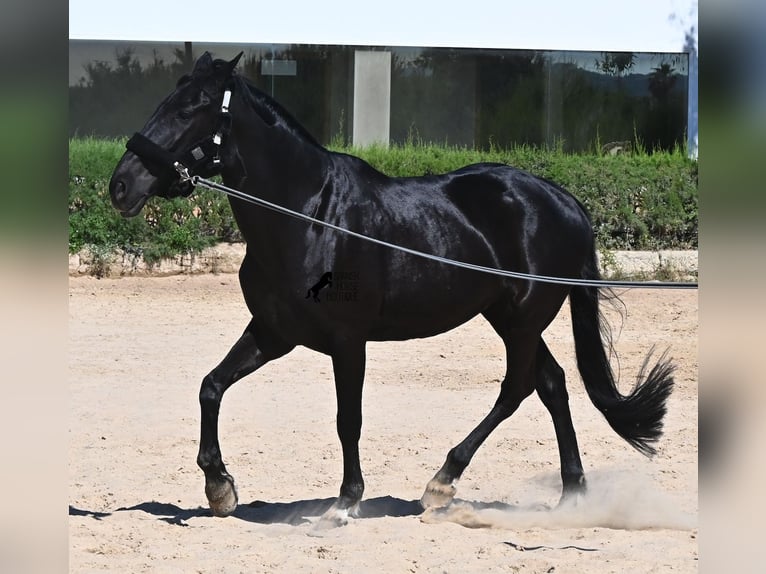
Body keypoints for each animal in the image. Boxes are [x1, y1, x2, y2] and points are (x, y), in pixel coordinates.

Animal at [109, 52, 675, 527]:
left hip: (521, 319)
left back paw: (442, 482)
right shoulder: (274, 333)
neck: (310, 216)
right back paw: (571, 494)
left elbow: (348, 419)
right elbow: (211, 386)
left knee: (517, 388)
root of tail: (563, 200)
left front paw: (345, 501)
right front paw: (220, 487)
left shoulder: (347, 341)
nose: (121, 186)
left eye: (192, 108)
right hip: (508, 318)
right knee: (552, 383)